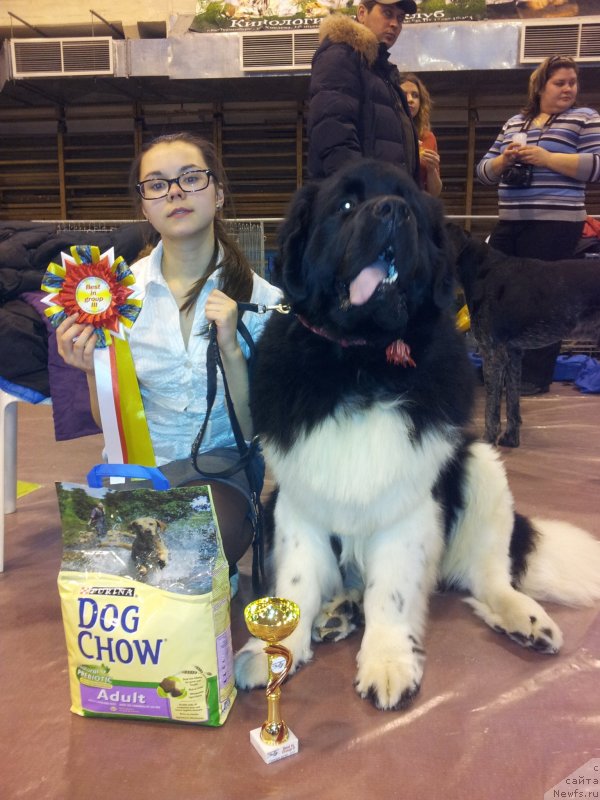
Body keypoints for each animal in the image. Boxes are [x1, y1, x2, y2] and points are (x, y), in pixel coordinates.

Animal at [450, 225, 600, 446]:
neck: (482, 271)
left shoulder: (492, 354)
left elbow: (491, 408)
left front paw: (487, 441)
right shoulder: (513, 354)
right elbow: (513, 401)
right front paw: (511, 438)